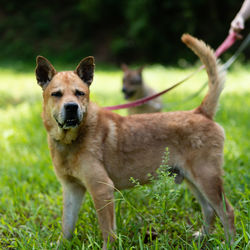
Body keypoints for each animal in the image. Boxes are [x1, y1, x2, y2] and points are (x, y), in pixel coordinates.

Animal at [35, 34, 234, 248]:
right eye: (56, 94)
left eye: (80, 93)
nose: (71, 107)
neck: (71, 140)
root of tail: (201, 112)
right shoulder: (72, 189)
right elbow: (66, 227)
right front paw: (60, 246)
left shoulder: (101, 188)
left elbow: (107, 232)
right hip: (192, 179)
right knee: (209, 209)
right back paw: (204, 236)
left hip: (207, 177)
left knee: (227, 212)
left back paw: (231, 243)